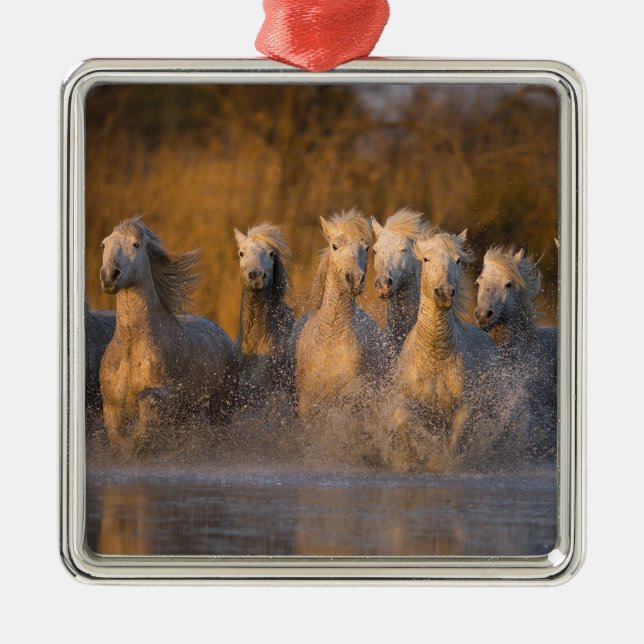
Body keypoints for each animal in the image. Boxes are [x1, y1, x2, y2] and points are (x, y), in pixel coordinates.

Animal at [98, 217, 236, 459]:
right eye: (104, 244)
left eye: (136, 244)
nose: (109, 276)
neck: (132, 344)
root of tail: (222, 333)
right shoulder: (110, 406)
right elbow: (118, 440)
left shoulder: (166, 398)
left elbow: (146, 408)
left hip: (221, 409)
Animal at [388, 230, 496, 471]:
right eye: (426, 259)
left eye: (457, 260)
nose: (444, 293)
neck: (435, 354)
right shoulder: (403, 399)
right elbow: (403, 422)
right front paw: (410, 461)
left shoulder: (464, 408)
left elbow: (456, 440)